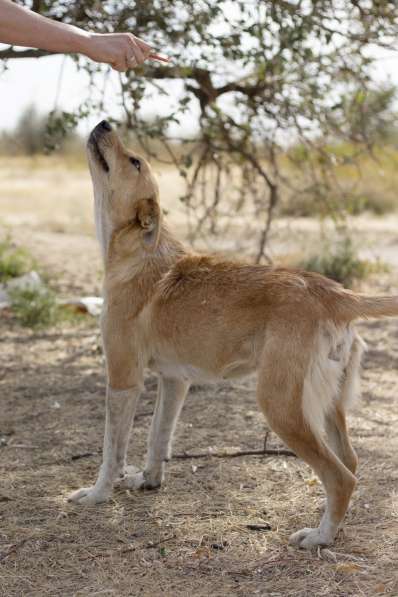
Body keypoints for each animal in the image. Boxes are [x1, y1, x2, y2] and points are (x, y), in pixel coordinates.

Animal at [68, 121, 398, 548]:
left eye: (134, 161)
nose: (105, 123)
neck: (136, 249)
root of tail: (335, 293)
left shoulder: (124, 379)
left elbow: (112, 451)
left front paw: (97, 495)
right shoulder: (174, 380)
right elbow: (158, 436)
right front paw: (149, 481)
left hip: (280, 405)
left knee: (341, 476)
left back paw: (320, 536)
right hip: (327, 403)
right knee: (352, 461)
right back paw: (336, 526)